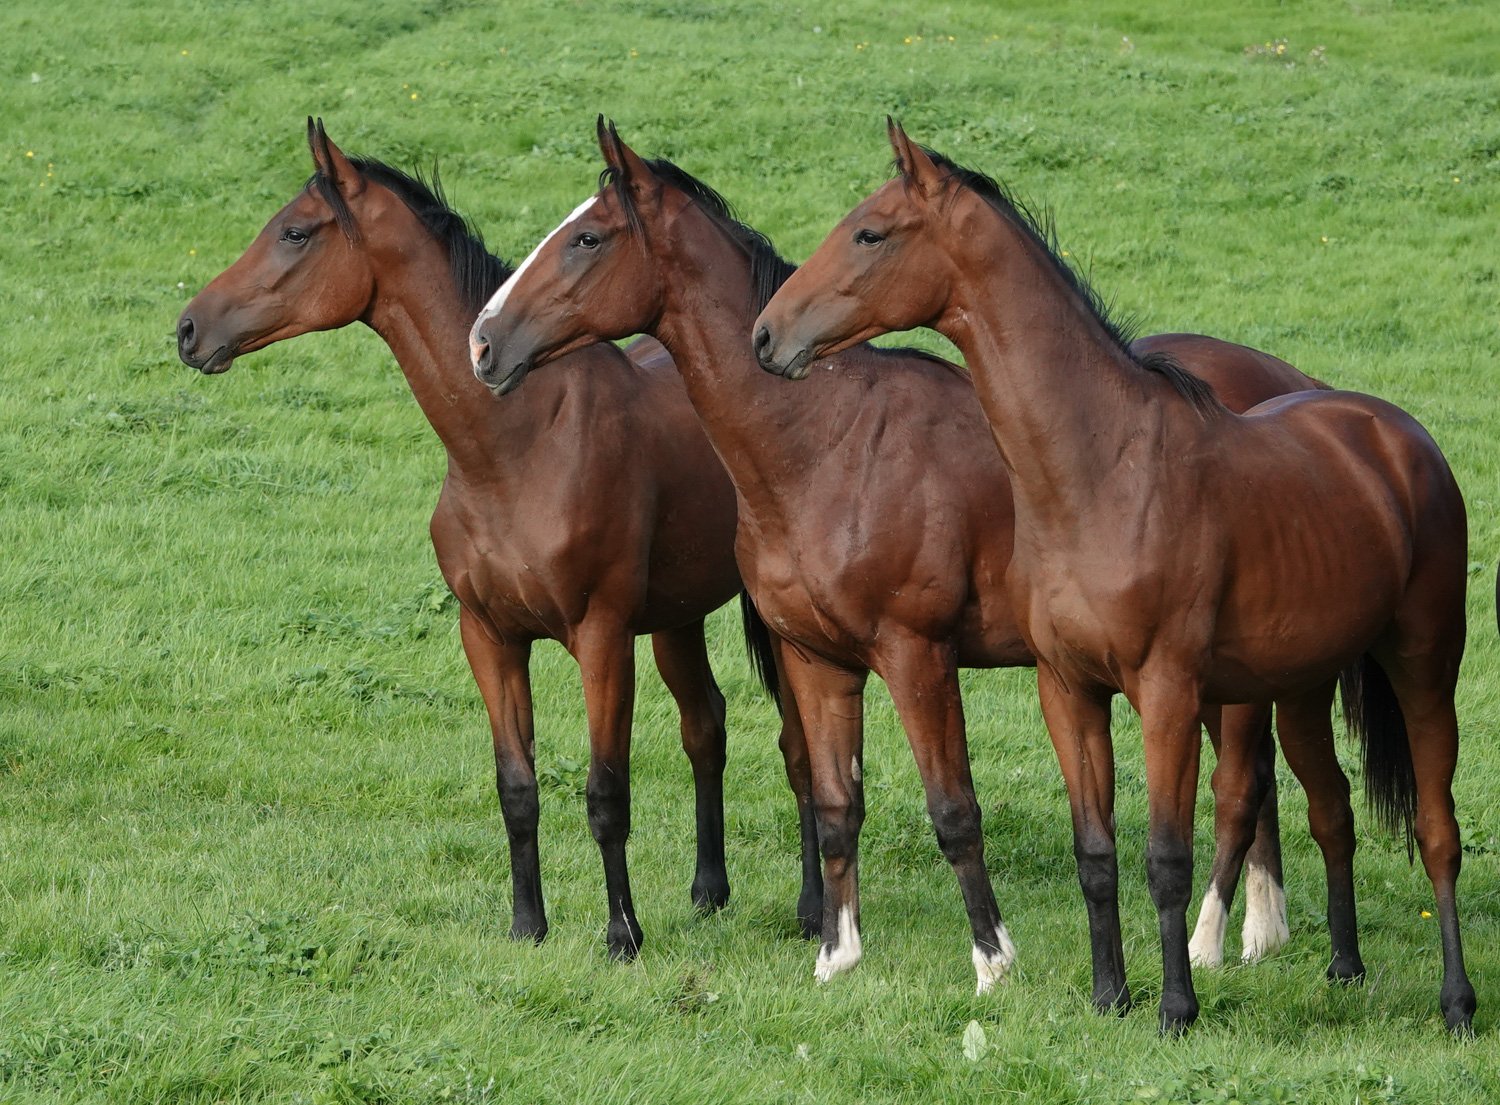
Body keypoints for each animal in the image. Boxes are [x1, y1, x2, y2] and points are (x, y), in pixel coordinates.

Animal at [176, 118, 818, 962]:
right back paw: (709, 889)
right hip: (676, 617)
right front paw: (527, 924)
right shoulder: (489, 636)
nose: (189, 328)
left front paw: (621, 934)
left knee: (798, 749)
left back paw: (813, 908)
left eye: (294, 231)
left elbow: (606, 790)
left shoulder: (601, 636)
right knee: (704, 725)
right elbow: (517, 787)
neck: (517, 445)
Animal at [467, 119, 1335, 990]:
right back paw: (1260, 928)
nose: (484, 340)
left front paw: (993, 958)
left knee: (1239, 785)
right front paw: (836, 951)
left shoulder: (917, 655)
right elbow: (834, 804)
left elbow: (953, 809)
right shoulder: (818, 660)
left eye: (587, 237)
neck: (829, 443)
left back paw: (1220, 938)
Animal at [754, 119, 1473, 1034]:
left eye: (870, 233)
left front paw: (1174, 1006)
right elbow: (1094, 851)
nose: (766, 335)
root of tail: (1399, 436)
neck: (1101, 471)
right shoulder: (1067, 688)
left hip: (1423, 668)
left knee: (1434, 829)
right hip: (1303, 687)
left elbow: (1165, 854)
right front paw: (1109, 995)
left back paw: (1457, 1001)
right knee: (1331, 807)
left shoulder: (1164, 692)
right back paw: (1344, 968)